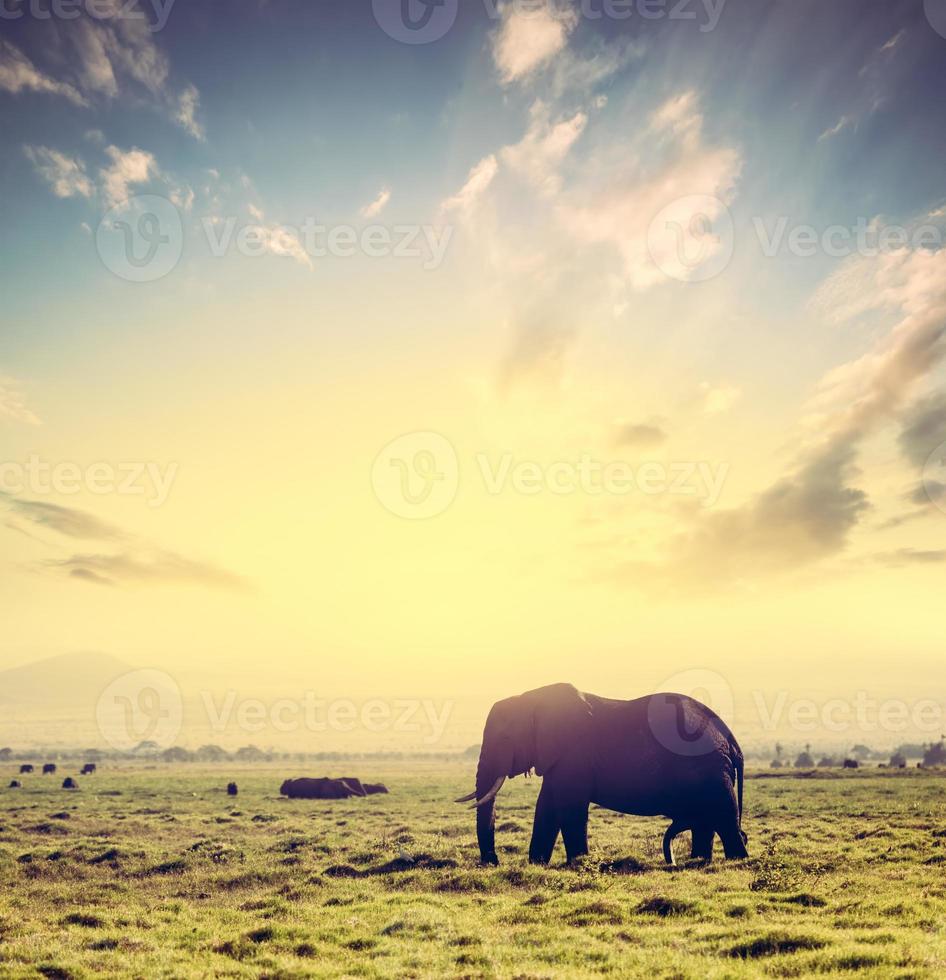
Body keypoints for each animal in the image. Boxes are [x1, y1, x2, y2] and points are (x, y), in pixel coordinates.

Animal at [458, 680, 744, 864]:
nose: (493, 862)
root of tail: (730, 737)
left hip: (710, 769)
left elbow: (569, 805)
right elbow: (547, 806)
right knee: (707, 820)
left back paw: (735, 861)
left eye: (505, 739)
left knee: (724, 816)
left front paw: (577, 864)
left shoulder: (574, 753)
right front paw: (537, 864)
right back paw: (698, 862)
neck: (531, 698)